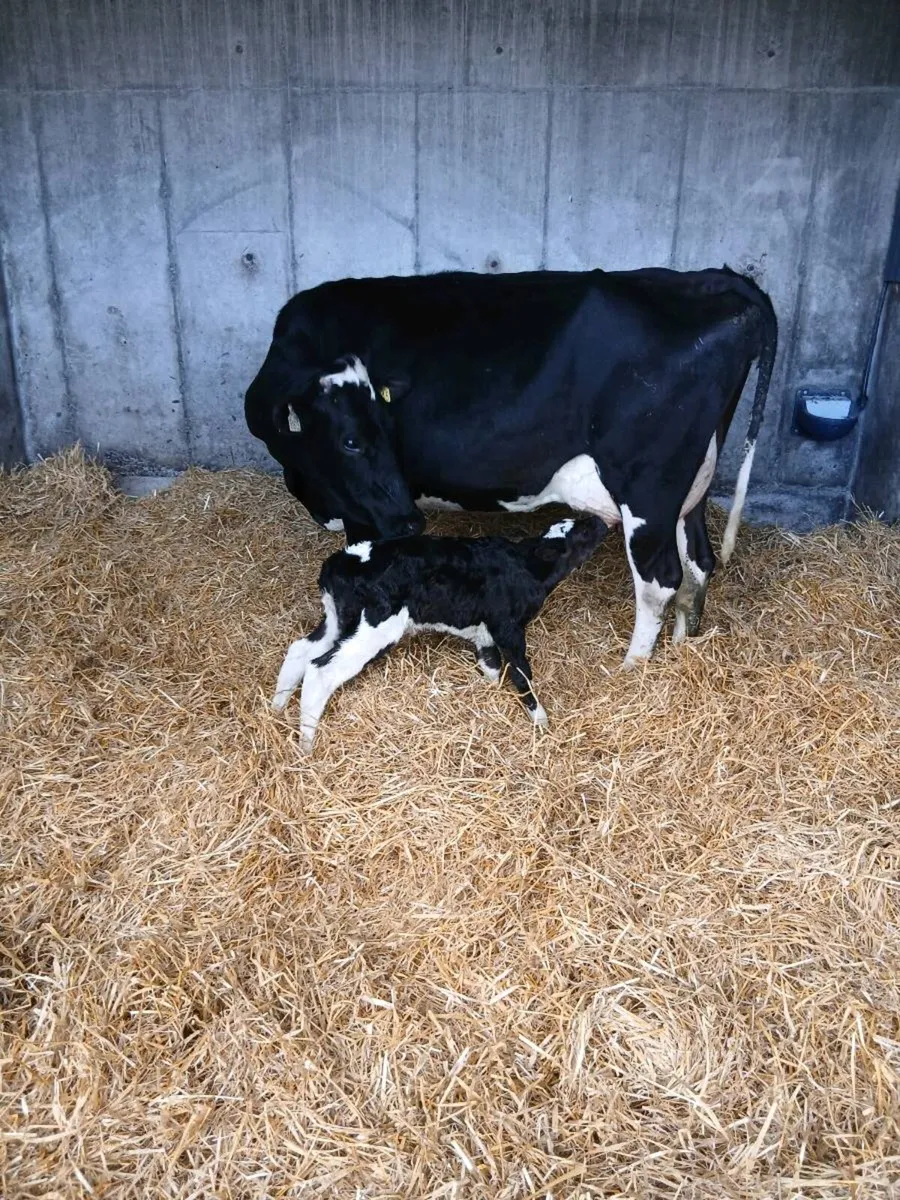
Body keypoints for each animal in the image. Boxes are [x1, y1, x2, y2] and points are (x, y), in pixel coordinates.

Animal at [246, 266, 777, 668]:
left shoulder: (358, 510)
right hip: (693, 482)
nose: (409, 520)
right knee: (699, 561)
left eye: (367, 434)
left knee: (659, 579)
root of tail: (711, 279)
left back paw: (633, 667)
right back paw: (684, 644)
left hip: (648, 486)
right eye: (353, 440)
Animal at [272, 515, 610, 750]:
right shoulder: (508, 629)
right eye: (581, 532)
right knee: (321, 669)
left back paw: (277, 708)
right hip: (375, 627)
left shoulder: (486, 633)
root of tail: (343, 559)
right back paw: (306, 744)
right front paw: (540, 719)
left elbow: (490, 664)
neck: (528, 567)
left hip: (339, 621)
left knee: (301, 650)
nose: (601, 521)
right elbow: (521, 673)